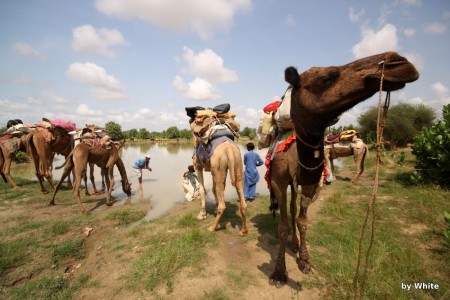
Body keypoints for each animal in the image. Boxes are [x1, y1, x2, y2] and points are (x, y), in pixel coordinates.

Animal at [268, 52, 418, 288]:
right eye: (327, 77)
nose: (398, 62)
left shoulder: (310, 182)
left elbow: (302, 221)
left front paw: (305, 261)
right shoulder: (278, 182)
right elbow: (282, 226)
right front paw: (278, 273)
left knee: (293, 208)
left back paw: (295, 244)